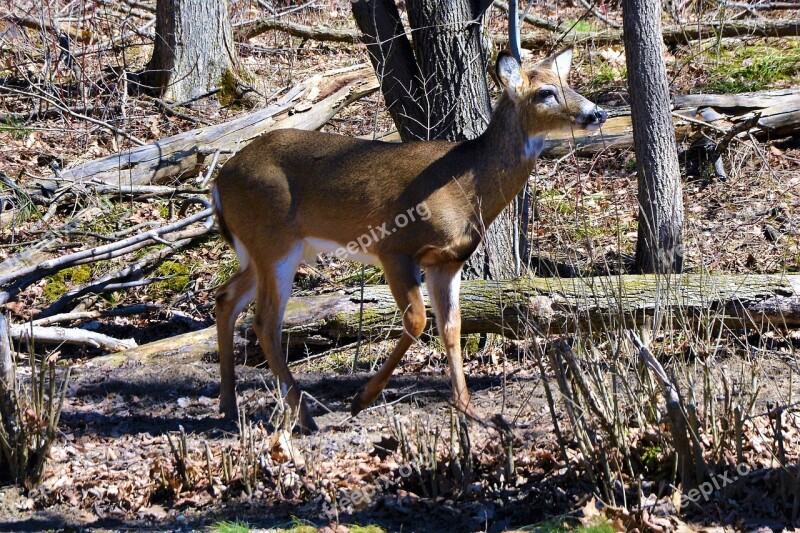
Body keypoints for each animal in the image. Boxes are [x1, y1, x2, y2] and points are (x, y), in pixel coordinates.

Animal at [211, 16, 608, 432]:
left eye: (569, 84)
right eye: (546, 92)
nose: (597, 113)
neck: (468, 188)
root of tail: (219, 181)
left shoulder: (447, 261)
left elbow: (451, 326)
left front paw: (469, 409)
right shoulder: (395, 246)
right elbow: (417, 321)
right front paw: (362, 398)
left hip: (266, 248)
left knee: (226, 297)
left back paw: (229, 405)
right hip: (275, 243)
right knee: (265, 323)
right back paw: (302, 414)